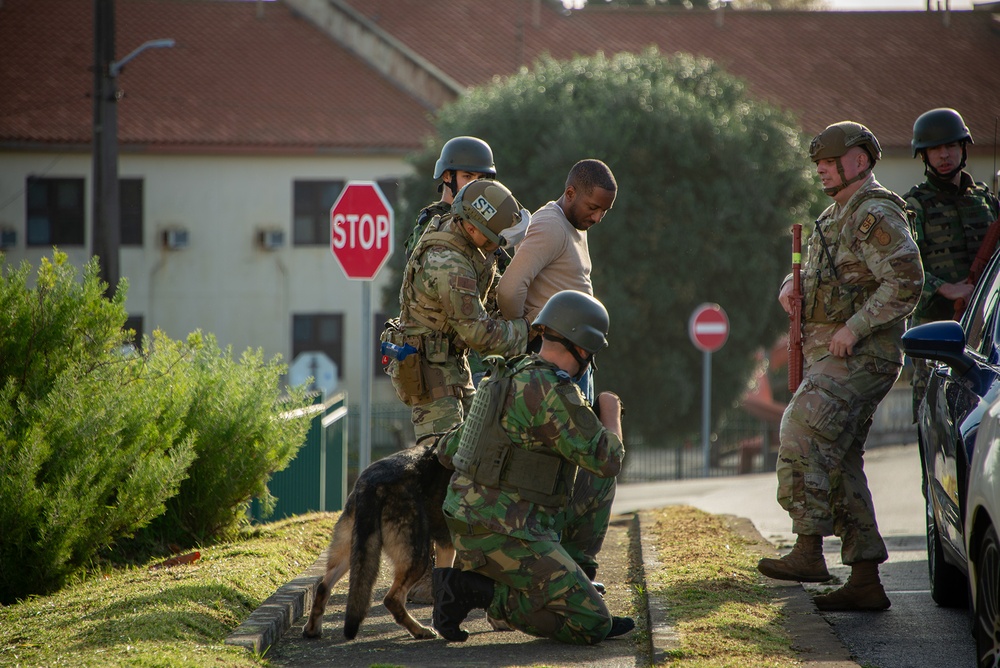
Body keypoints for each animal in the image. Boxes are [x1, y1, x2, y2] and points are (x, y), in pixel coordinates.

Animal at [296, 440, 454, 640]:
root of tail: (371, 484)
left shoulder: (447, 546)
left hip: (352, 552)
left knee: (324, 586)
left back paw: (312, 629)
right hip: (417, 557)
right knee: (392, 599)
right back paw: (420, 630)